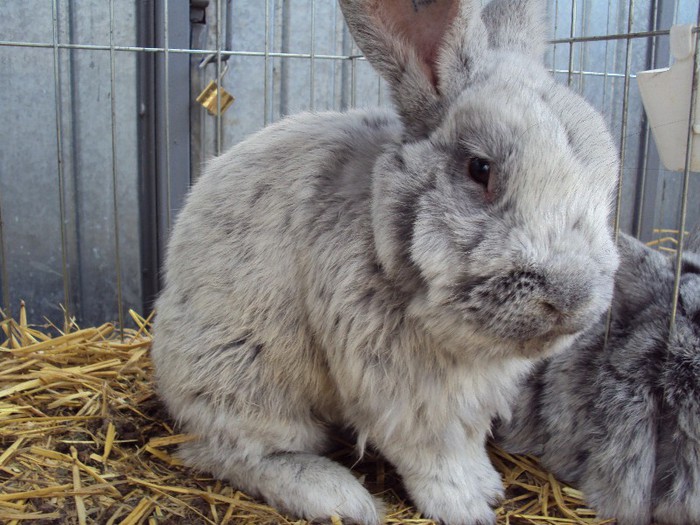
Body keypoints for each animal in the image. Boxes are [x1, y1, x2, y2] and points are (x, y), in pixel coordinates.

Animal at [152, 1, 616, 524]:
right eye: (480, 169)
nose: (572, 297)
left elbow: (468, 443)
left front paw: (488, 486)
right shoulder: (403, 393)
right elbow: (434, 456)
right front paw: (466, 508)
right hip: (246, 378)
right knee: (231, 450)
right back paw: (337, 496)